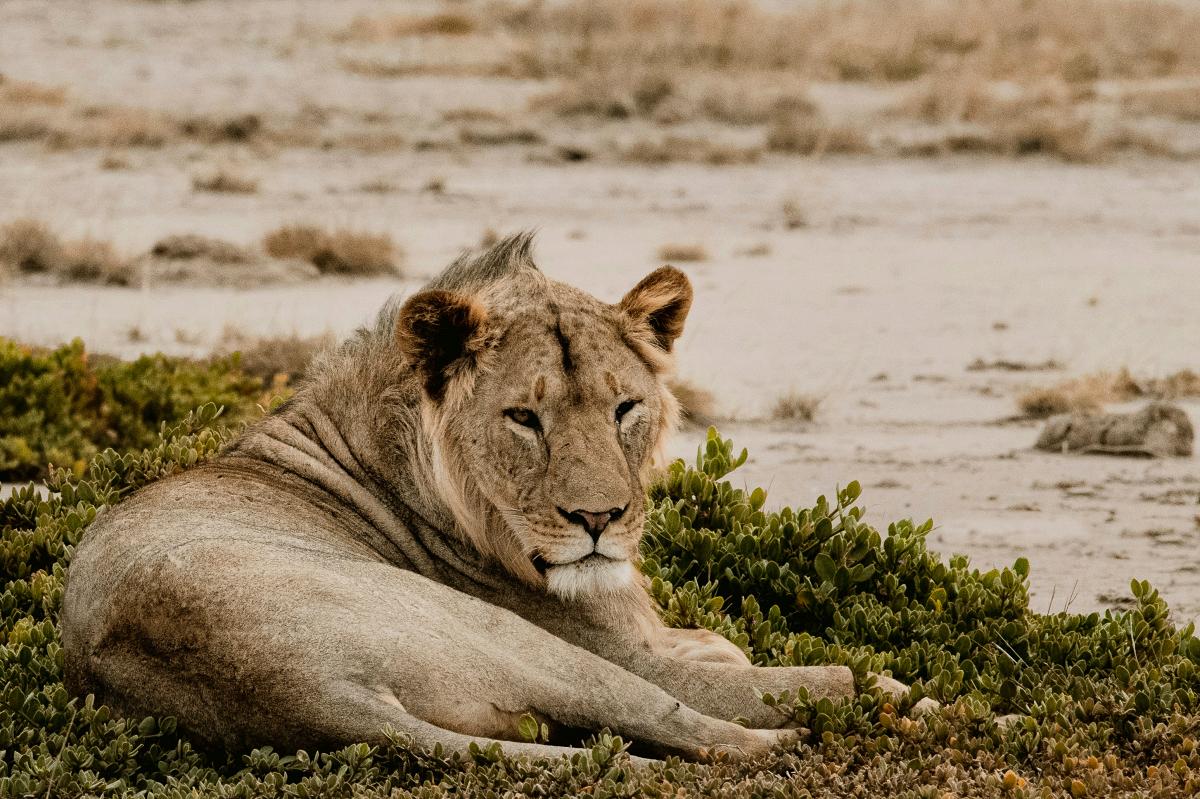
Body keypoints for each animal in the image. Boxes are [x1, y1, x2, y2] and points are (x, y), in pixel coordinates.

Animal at [62, 233, 928, 762]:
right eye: (524, 417)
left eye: (623, 407)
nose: (598, 520)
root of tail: (305, 696)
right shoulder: (627, 648)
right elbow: (747, 672)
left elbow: (719, 645)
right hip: (516, 640)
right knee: (696, 722)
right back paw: (858, 718)